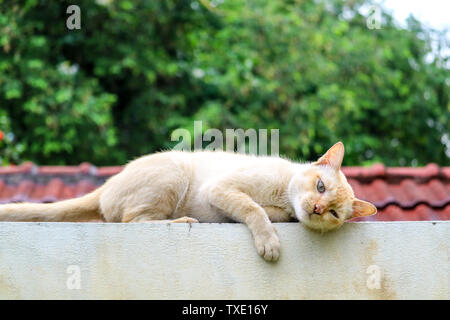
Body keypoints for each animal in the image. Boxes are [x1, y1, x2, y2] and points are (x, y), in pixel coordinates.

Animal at [0, 143, 374, 262]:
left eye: (334, 213)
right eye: (320, 186)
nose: (317, 209)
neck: (283, 193)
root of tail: (108, 184)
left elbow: (266, 213)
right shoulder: (219, 189)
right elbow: (252, 209)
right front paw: (268, 242)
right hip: (174, 172)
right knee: (132, 222)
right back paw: (182, 222)